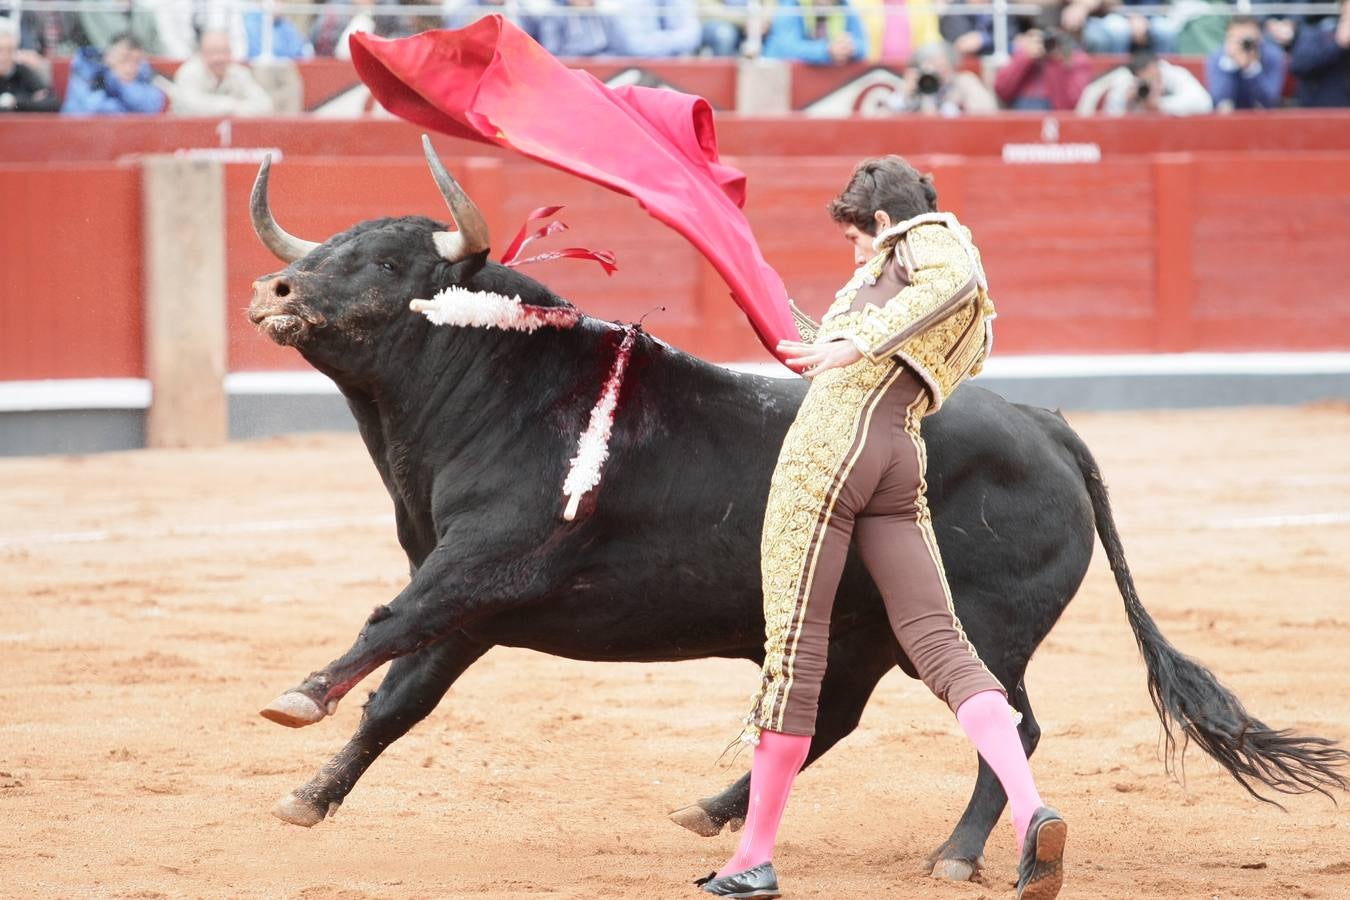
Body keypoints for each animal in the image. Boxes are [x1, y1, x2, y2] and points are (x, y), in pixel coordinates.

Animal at [248, 144, 1344, 874]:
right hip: (864, 625)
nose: (276, 291)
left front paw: (298, 698)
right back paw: (716, 811)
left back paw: (958, 853)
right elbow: (402, 696)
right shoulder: (474, 605)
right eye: (335, 243)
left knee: (1007, 720)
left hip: (978, 623)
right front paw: (310, 796)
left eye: (390, 262)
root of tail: (1043, 422)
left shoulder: (485, 561)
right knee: (832, 719)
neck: (491, 388)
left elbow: (387, 625)